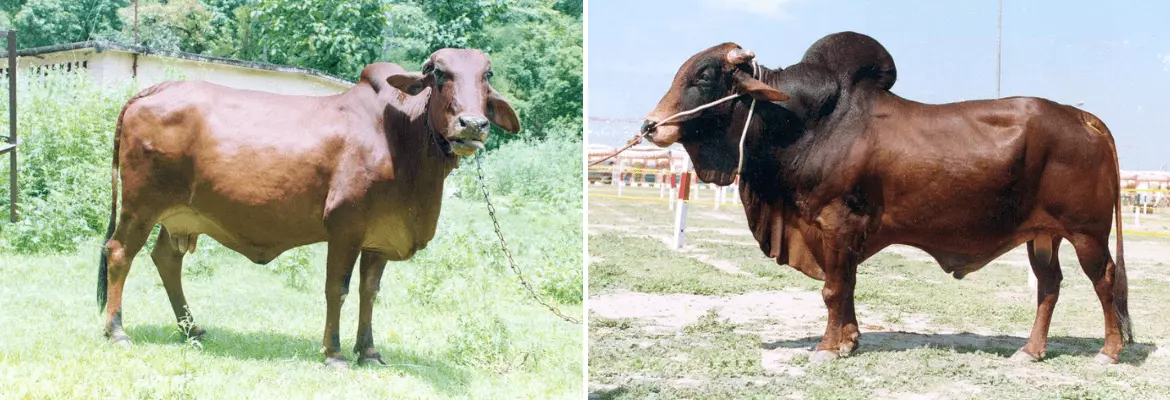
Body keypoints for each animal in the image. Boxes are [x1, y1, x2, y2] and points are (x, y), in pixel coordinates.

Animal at [97, 48, 521, 368]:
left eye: (487, 75)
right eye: (438, 74)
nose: (472, 124)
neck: (402, 139)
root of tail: (152, 90)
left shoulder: (380, 238)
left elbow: (369, 291)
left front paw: (368, 351)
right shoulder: (345, 227)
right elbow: (338, 289)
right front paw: (334, 353)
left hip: (179, 216)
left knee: (166, 259)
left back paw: (191, 328)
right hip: (141, 205)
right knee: (119, 253)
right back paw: (116, 331)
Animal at [641, 32, 1130, 364]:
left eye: (704, 75)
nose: (650, 126)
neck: (804, 124)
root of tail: (1084, 118)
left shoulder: (836, 223)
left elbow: (833, 288)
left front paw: (827, 347)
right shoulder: (839, 233)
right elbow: (847, 285)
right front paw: (849, 340)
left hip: (1087, 233)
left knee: (1104, 280)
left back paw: (1109, 352)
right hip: (1042, 235)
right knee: (1049, 285)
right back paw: (1030, 350)